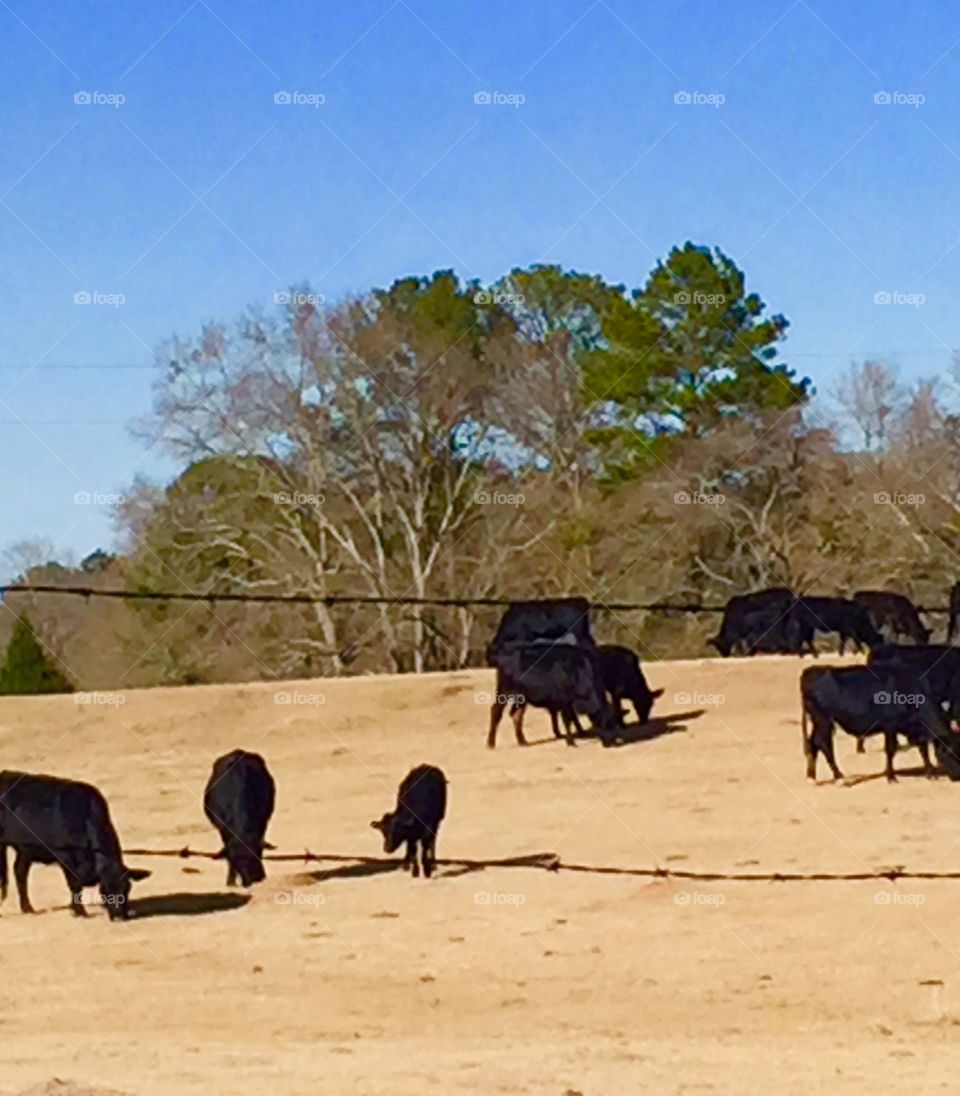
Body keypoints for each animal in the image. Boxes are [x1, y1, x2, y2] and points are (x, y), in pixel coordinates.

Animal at [0, 771, 151, 919]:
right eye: (105, 890)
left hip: (25, 850)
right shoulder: (66, 857)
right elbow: (75, 884)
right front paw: (80, 911)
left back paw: (28, 909)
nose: (119, 915)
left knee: (20, 871)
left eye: (127, 889)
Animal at [203, 750, 276, 887]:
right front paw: (230, 881)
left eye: (257, 853)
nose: (255, 879)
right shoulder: (224, 830)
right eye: (236, 860)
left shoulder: (262, 823)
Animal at [487, 643, 617, 748]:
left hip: (522, 698)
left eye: (614, 722)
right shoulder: (565, 701)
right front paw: (571, 742)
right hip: (504, 692)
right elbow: (568, 720)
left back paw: (522, 741)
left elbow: (573, 719)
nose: (610, 743)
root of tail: (503, 654)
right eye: (605, 722)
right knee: (496, 711)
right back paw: (491, 743)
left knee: (516, 715)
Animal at [800, 665, 948, 782]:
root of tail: (811, 671)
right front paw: (891, 776)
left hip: (819, 721)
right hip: (823, 719)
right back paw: (839, 776)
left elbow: (923, 749)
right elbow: (891, 749)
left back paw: (812, 776)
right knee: (822, 743)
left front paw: (930, 772)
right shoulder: (890, 725)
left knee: (813, 743)